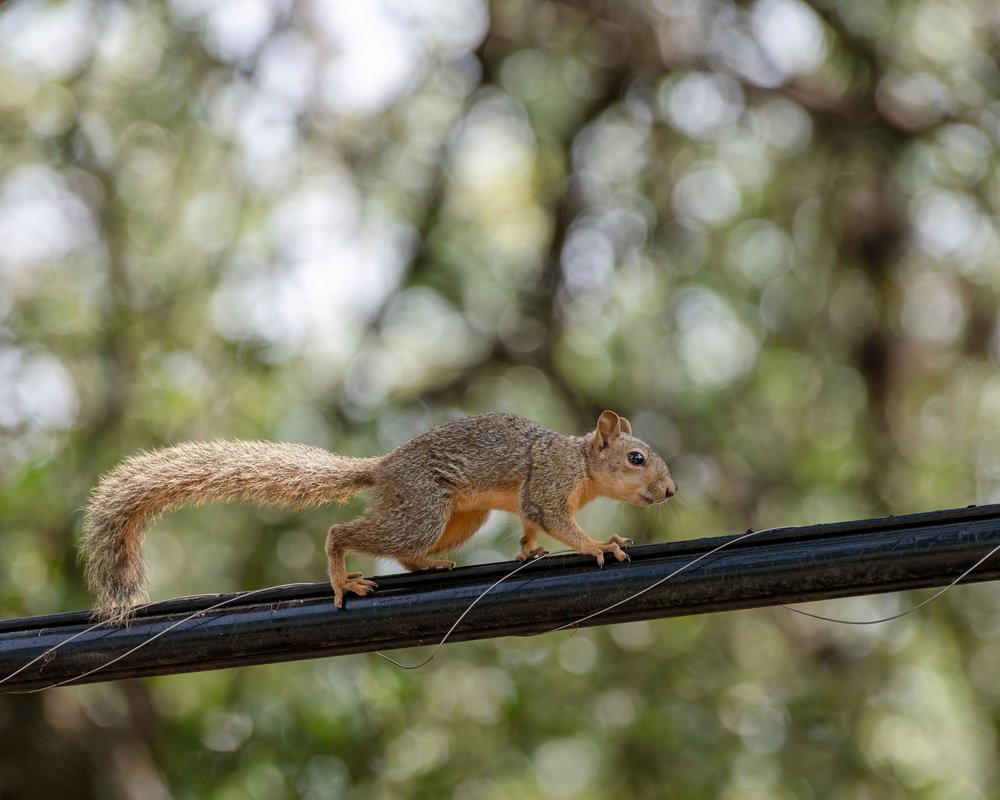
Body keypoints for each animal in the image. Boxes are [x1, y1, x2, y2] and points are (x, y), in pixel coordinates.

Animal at [82, 410, 680, 620]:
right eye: (636, 458)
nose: (672, 490)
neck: (582, 463)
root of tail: (384, 467)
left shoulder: (537, 499)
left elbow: (533, 526)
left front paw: (529, 551)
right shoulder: (549, 484)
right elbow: (554, 520)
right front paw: (599, 545)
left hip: (457, 520)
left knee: (402, 549)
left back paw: (427, 566)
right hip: (422, 510)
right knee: (342, 531)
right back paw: (341, 579)